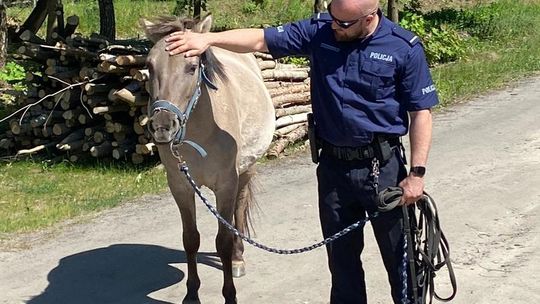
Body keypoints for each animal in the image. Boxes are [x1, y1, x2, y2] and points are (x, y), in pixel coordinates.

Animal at [140, 14, 274, 304]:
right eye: (149, 66)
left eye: (192, 67)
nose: (162, 126)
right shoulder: (180, 186)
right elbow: (190, 239)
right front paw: (191, 293)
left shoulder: (226, 184)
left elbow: (222, 240)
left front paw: (230, 294)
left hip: (245, 172)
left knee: (238, 211)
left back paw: (237, 258)